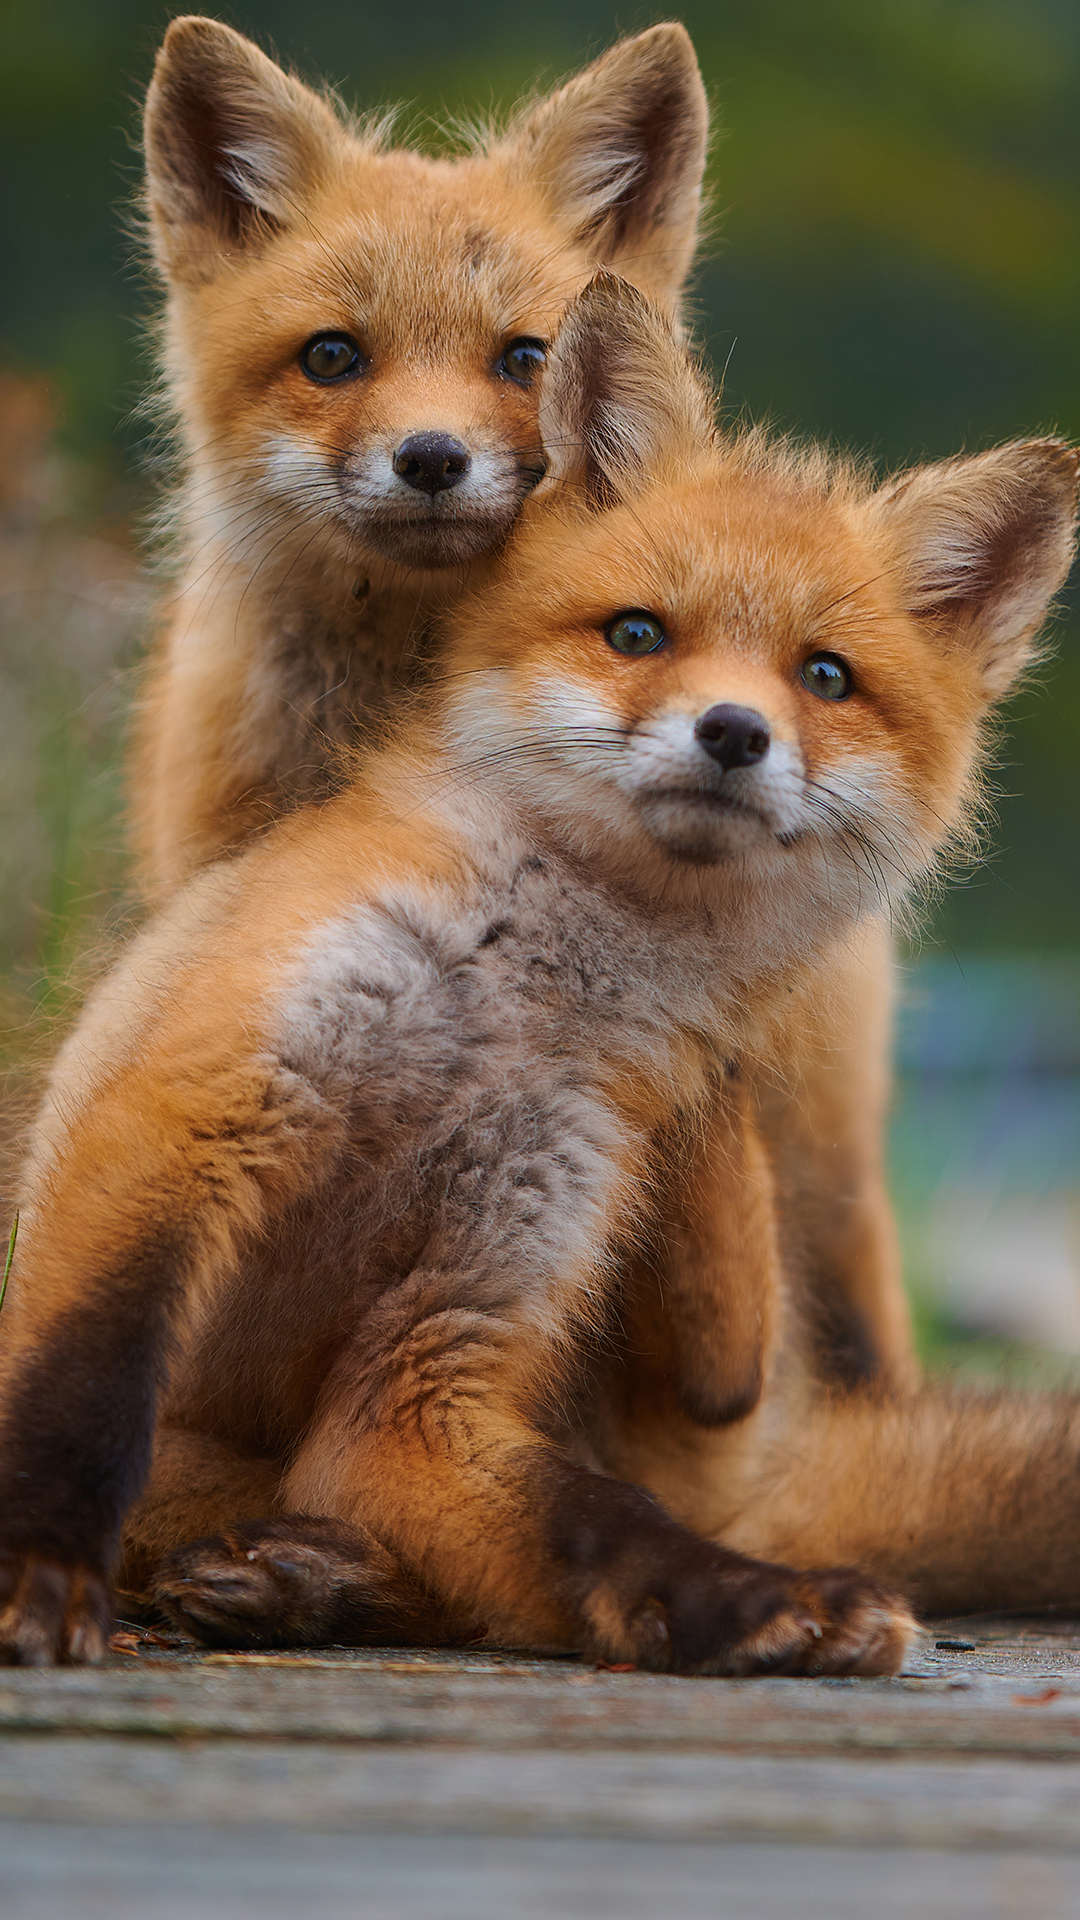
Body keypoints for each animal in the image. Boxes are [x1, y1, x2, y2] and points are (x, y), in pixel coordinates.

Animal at [1, 275, 1076, 1674]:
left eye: (825, 676)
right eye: (639, 634)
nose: (734, 732)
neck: (513, 1008)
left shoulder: (445, 1339)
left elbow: (598, 1522)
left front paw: (755, 1603)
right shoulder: (192, 1108)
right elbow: (81, 1388)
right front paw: (39, 1569)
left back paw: (311, 1578)